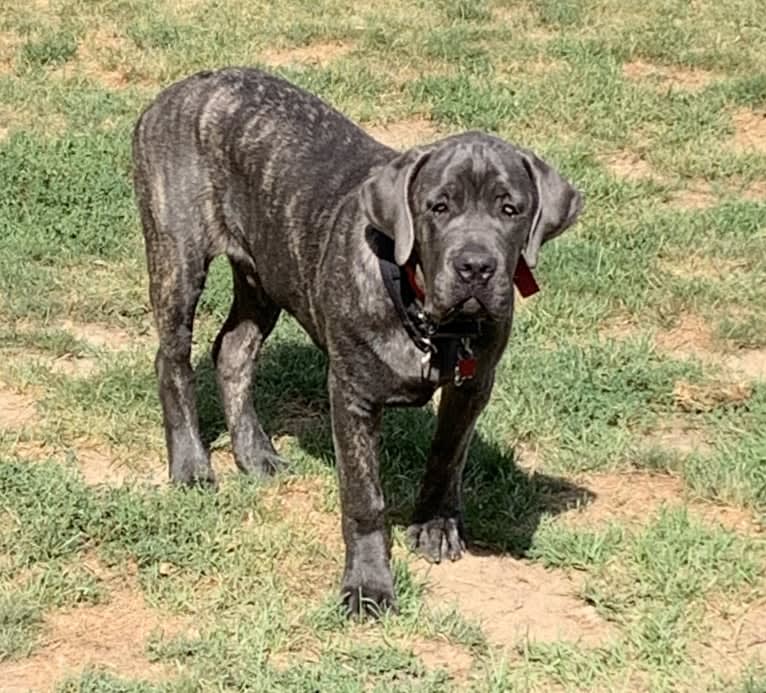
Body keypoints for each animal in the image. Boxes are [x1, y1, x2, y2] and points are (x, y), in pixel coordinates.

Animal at [134, 67, 584, 612]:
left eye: (510, 209)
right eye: (438, 207)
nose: (475, 267)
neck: (429, 321)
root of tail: (183, 85)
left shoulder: (474, 385)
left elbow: (447, 455)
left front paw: (435, 525)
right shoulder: (351, 395)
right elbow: (364, 497)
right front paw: (368, 584)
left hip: (265, 273)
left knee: (233, 350)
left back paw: (255, 454)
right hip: (177, 255)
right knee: (173, 359)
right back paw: (192, 466)